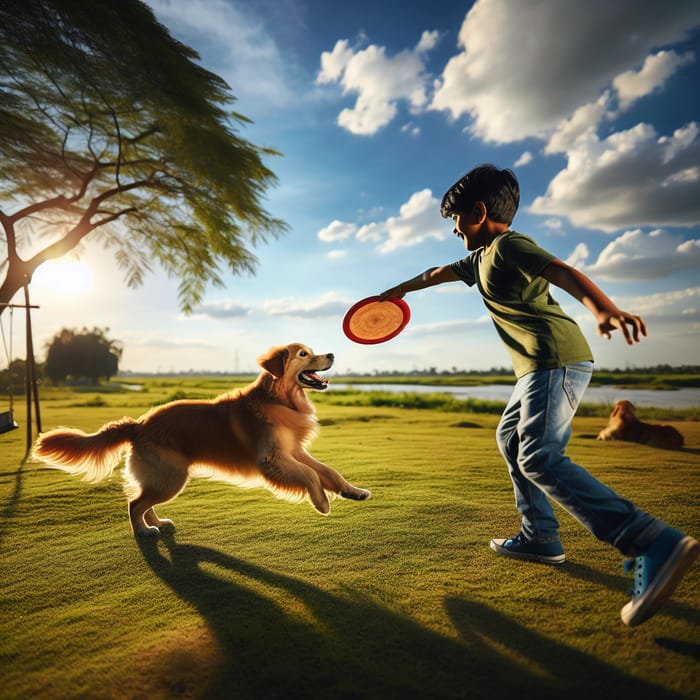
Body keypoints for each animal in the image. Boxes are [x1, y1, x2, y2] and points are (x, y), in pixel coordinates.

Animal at [34, 344, 372, 536]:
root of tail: (139, 424)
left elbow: (327, 470)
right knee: (134, 503)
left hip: (163, 478)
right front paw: (322, 502)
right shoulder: (272, 459)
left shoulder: (294, 451)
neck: (280, 399)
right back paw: (144, 531)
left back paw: (157, 523)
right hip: (171, 477)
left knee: (142, 501)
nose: (332, 354)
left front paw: (352, 492)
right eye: (304, 354)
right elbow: (310, 475)